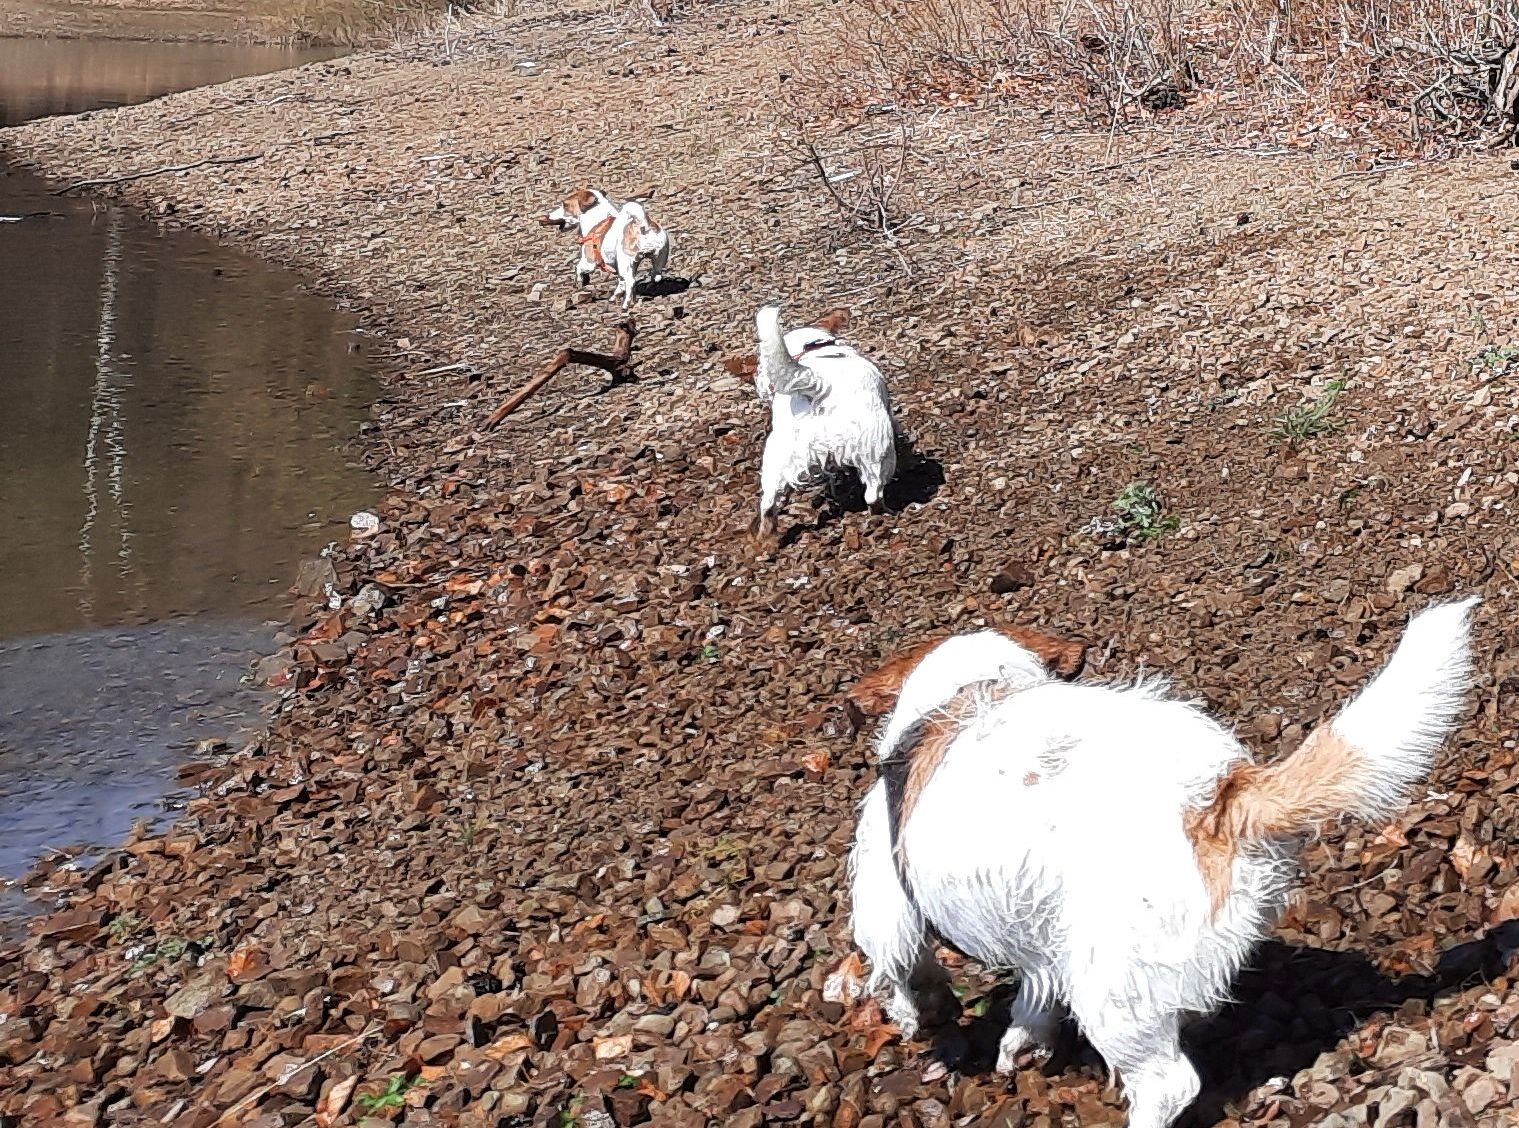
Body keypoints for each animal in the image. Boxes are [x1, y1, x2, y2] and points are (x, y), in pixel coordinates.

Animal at [753, 302, 893, 537]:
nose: (760, 383)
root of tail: (819, 385)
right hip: (877, 451)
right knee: (874, 494)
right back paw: (883, 513)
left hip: (777, 457)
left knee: (769, 503)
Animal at [856, 601, 1482, 1128]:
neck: (974, 687)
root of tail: (1220, 799)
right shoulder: (1044, 937)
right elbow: (1036, 996)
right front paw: (1024, 1044)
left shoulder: (887, 904)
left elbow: (902, 968)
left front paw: (915, 1014)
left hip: (1114, 989)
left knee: (1168, 1084)